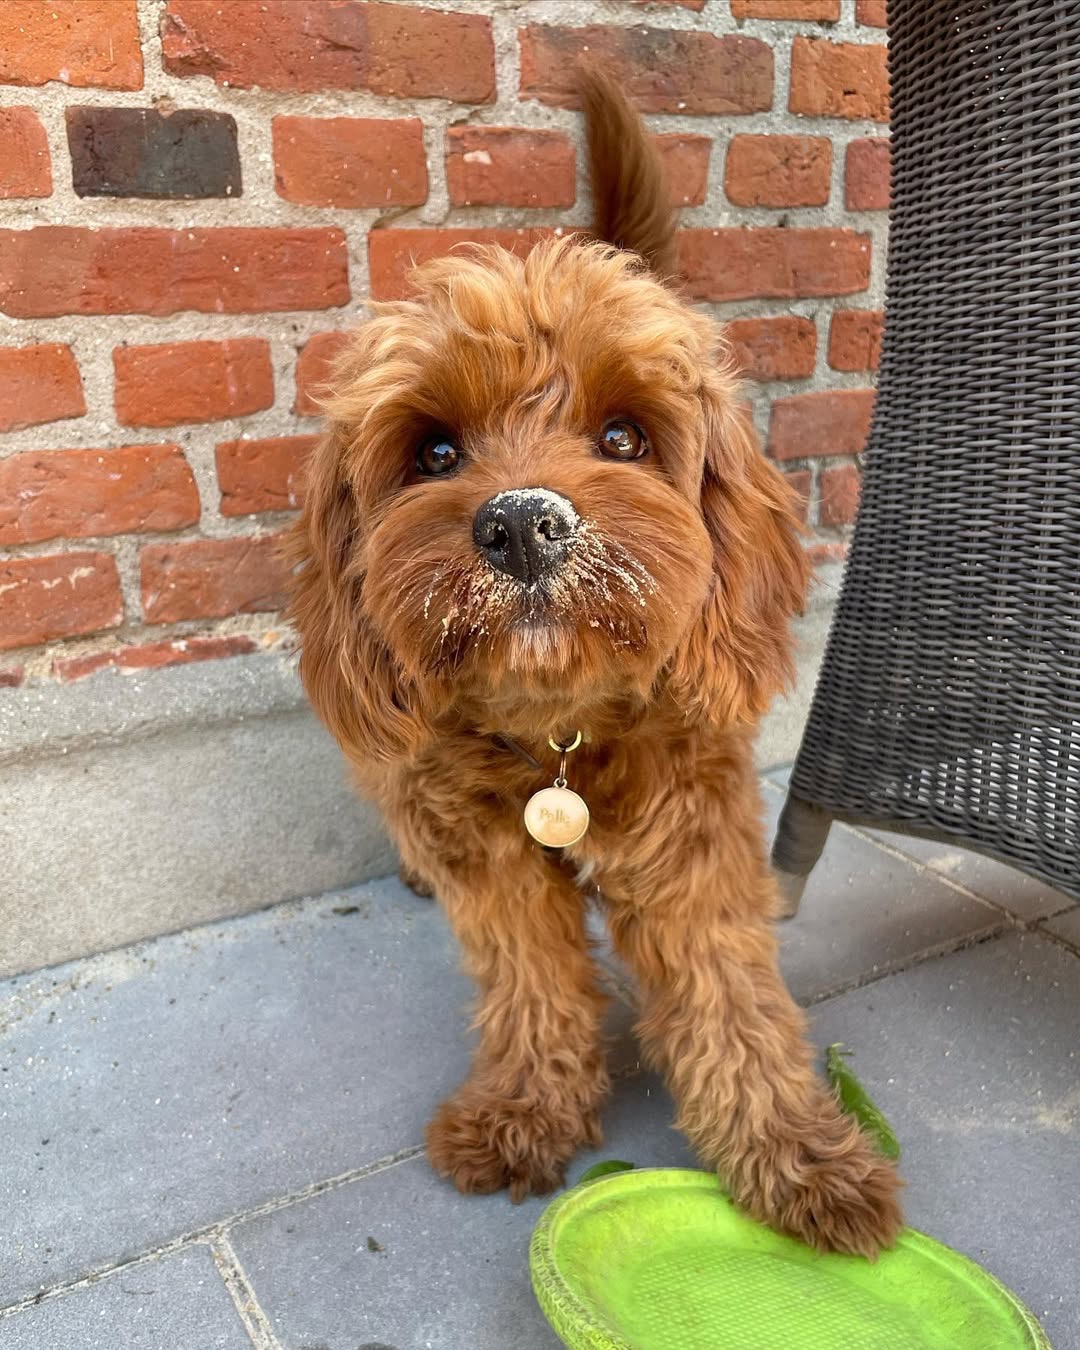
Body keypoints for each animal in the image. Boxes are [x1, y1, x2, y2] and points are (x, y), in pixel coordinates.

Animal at [286, 67, 901, 1257]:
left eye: (623, 437)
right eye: (435, 451)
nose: (524, 524)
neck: (556, 738)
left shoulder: (695, 839)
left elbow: (728, 997)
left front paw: (796, 1154)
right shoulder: (495, 865)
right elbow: (533, 986)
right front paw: (528, 1109)